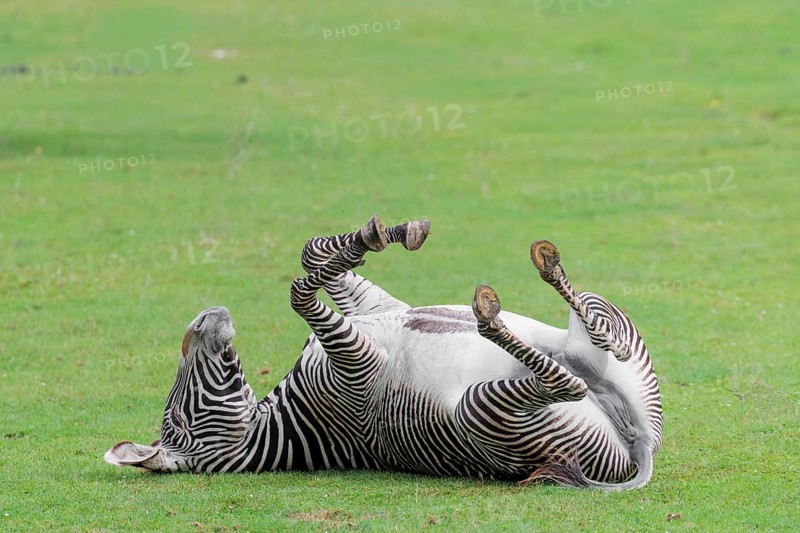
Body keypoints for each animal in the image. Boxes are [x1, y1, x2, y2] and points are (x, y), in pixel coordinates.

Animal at [105, 215, 662, 490]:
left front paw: (382, 234)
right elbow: (299, 291)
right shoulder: (357, 360)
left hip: (610, 341)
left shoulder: (378, 312)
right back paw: (492, 317)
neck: (288, 423)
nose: (203, 318)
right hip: (479, 411)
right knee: (569, 378)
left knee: (597, 337)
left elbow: (307, 255)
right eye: (178, 421)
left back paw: (546, 272)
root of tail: (638, 449)